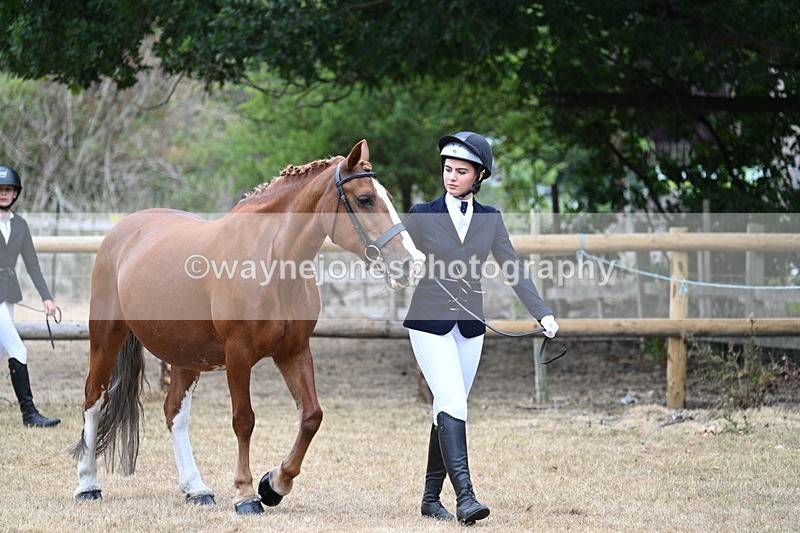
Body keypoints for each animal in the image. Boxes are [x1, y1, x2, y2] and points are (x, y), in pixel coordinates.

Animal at [65, 139, 422, 515]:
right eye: (365, 198)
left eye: (387, 197)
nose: (410, 263)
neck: (272, 262)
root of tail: (123, 231)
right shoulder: (238, 355)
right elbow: (244, 420)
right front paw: (246, 493)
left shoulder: (294, 352)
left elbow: (312, 416)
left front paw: (275, 485)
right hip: (107, 336)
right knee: (94, 399)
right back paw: (88, 483)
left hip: (186, 355)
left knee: (174, 412)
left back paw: (196, 489)